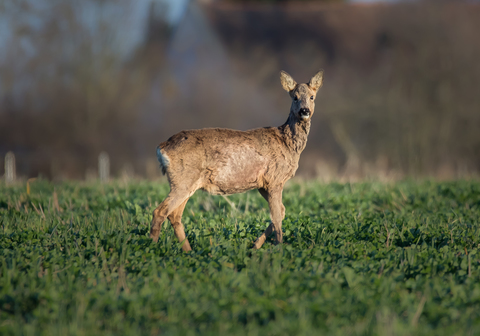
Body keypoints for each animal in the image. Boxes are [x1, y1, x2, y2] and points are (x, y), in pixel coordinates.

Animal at [150, 69, 322, 251]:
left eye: (312, 96)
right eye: (294, 97)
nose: (304, 111)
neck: (287, 143)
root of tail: (162, 147)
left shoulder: (262, 184)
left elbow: (281, 212)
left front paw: (255, 246)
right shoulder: (274, 179)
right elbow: (276, 216)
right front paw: (278, 248)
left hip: (187, 183)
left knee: (174, 215)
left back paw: (188, 251)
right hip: (182, 179)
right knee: (160, 211)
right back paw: (151, 247)